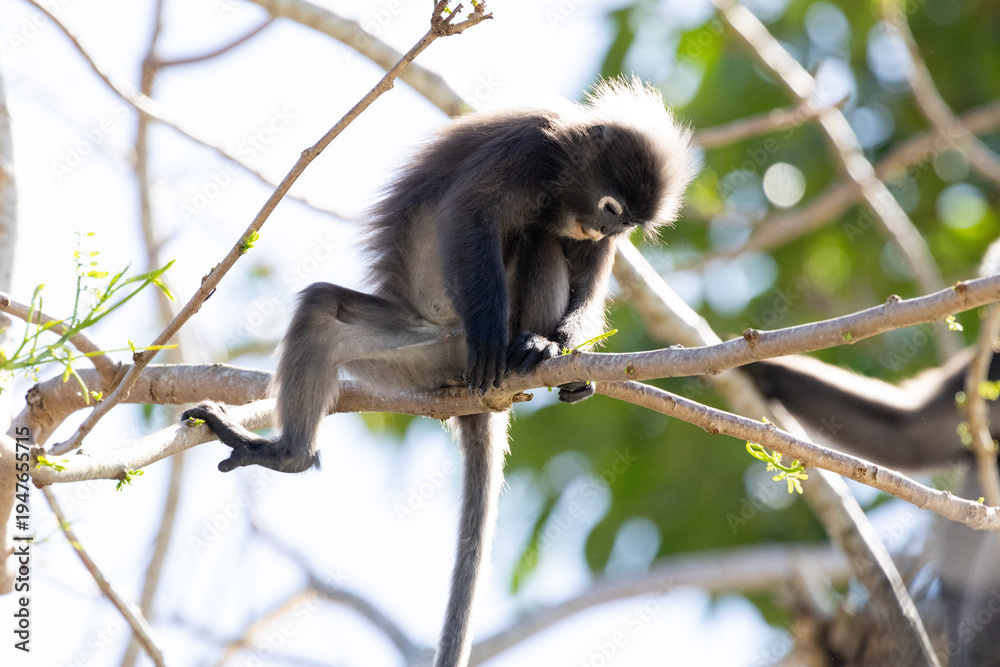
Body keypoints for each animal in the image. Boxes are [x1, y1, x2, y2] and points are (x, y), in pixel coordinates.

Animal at [181, 77, 695, 667]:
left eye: (624, 221)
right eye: (611, 207)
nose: (600, 227)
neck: (561, 176)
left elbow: (587, 275)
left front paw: (563, 351)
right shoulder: (526, 149)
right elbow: (468, 213)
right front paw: (499, 334)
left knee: (543, 240)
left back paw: (534, 349)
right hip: (424, 353)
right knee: (323, 312)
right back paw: (292, 453)